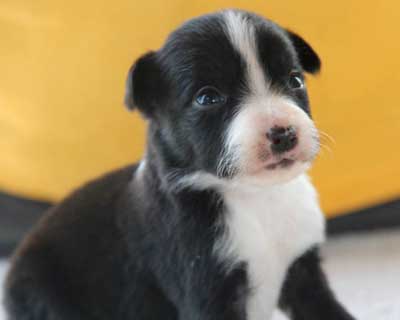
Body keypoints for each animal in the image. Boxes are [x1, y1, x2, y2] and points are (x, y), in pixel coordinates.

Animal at [4, 9, 356, 320]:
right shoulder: (206, 288)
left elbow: (328, 310)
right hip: (42, 292)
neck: (255, 197)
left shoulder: (303, 272)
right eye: (208, 98)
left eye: (295, 80)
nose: (283, 134)